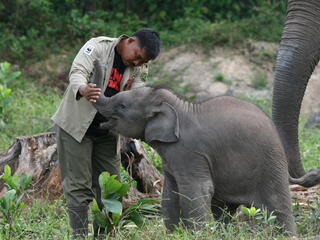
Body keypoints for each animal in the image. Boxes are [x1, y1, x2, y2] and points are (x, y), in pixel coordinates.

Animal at [91, 64, 296, 234]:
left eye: (122, 106)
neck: (181, 108)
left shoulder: (190, 152)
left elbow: (196, 190)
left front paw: (197, 234)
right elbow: (170, 193)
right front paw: (174, 234)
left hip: (271, 162)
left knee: (278, 205)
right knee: (223, 209)